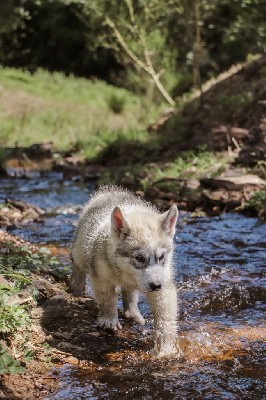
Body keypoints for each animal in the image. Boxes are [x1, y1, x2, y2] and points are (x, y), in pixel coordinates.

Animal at [70, 186, 179, 358]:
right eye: (140, 258)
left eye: (161, 257)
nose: (156, 286)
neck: (124, 270)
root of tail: (110, 190)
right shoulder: (101, 278)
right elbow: (108, 299)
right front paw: (109, 320)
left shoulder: (164, 284)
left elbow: (165, 317)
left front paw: (166, 348)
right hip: (81, 250)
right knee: (77, 263)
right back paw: (76, 288)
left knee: (130, 292)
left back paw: (133, 313)